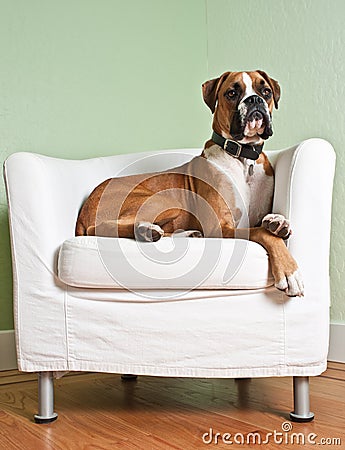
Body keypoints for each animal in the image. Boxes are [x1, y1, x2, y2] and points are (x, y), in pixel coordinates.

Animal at [76, 69, 304, 296]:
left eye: (266, 92)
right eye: (231, 93)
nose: (254, 99)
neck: (242, 158)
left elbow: (265, 225)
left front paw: (278, 222)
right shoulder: (219, 227)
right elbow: (263, 233)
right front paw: (289, 271)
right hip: (163, 201)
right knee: (101, 227)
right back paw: (146, 230)